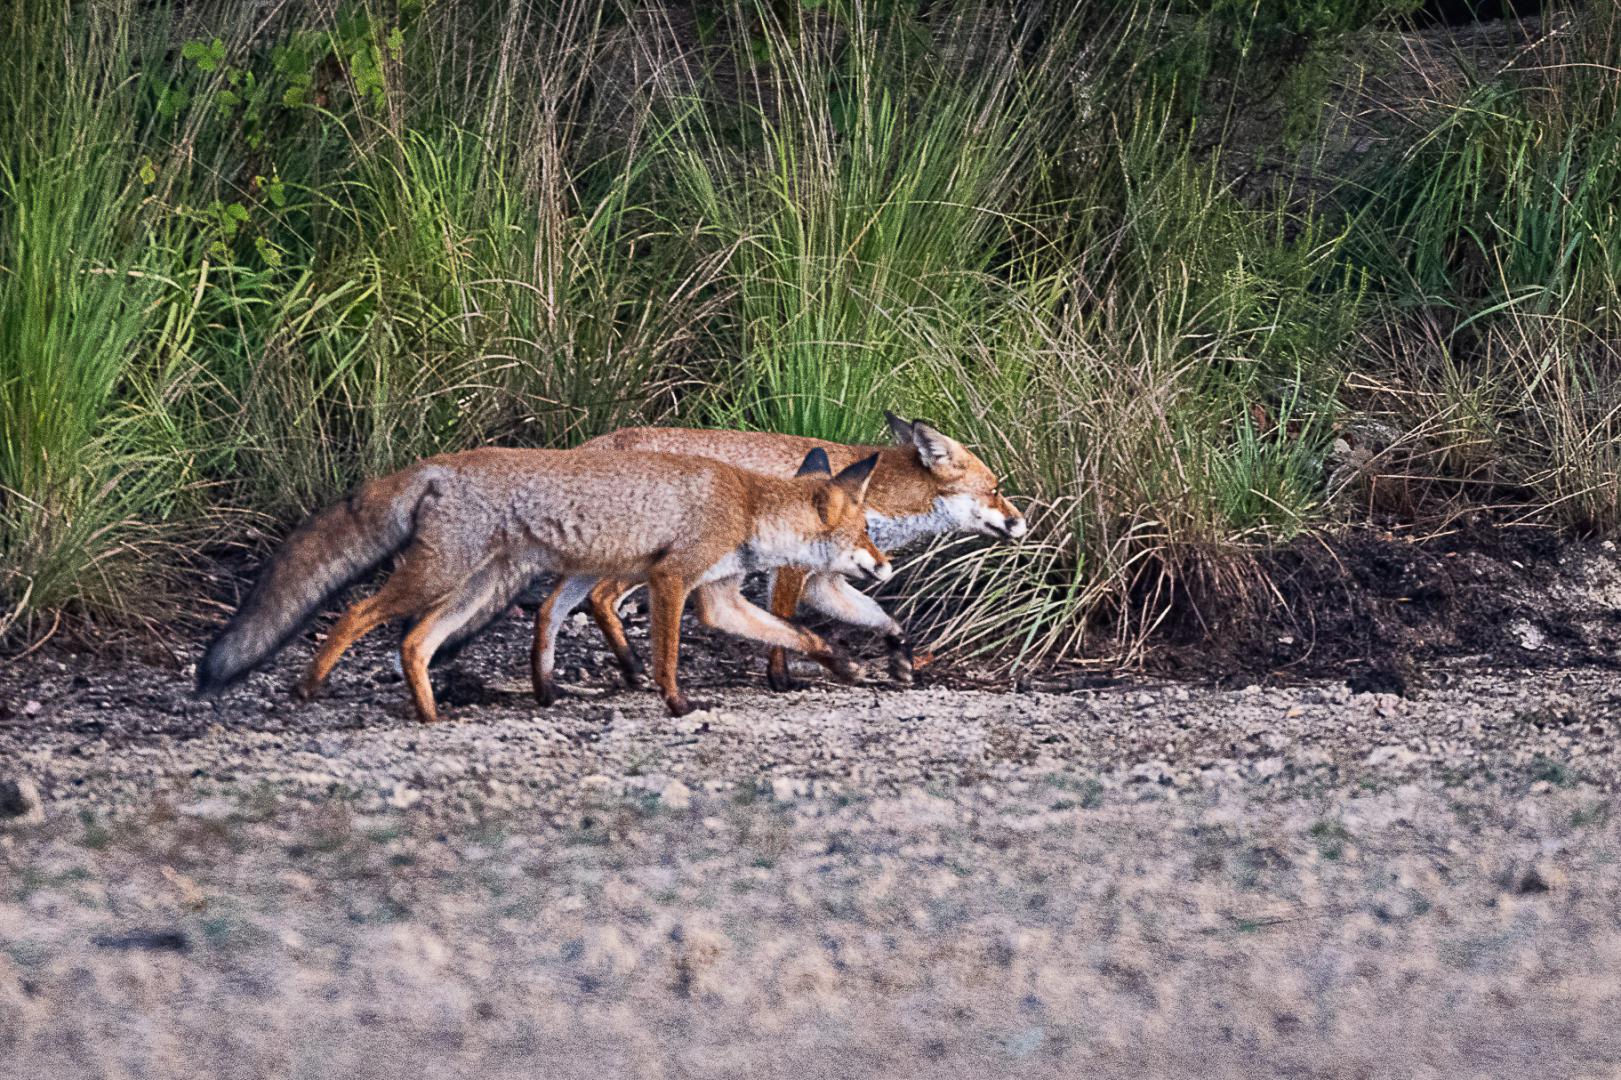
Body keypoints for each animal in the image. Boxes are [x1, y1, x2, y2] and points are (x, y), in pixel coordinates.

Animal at [195, 446, 890, 721]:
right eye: (865, 532)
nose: (885, 567)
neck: (746, 507)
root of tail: (441, 464)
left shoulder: (718, 599)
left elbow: (798, 634)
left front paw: (843, 664)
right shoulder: (671, 579)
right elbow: (667, 657)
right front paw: (676, 704)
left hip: (475, 589)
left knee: (414, 643)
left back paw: (431, 715)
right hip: (436, 578)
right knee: (355, 614)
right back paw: (310, 685)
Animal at [544, 412, 1025, 695]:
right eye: (996, 489)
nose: (1023, 523)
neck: (877, 496)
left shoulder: (825, 581)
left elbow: (883, 618)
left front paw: (900, 659)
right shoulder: (794, 566)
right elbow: (785, 622)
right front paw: (783, 678)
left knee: (579, 600)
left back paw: (619, 672)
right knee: (601, 597)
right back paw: (633, 670)